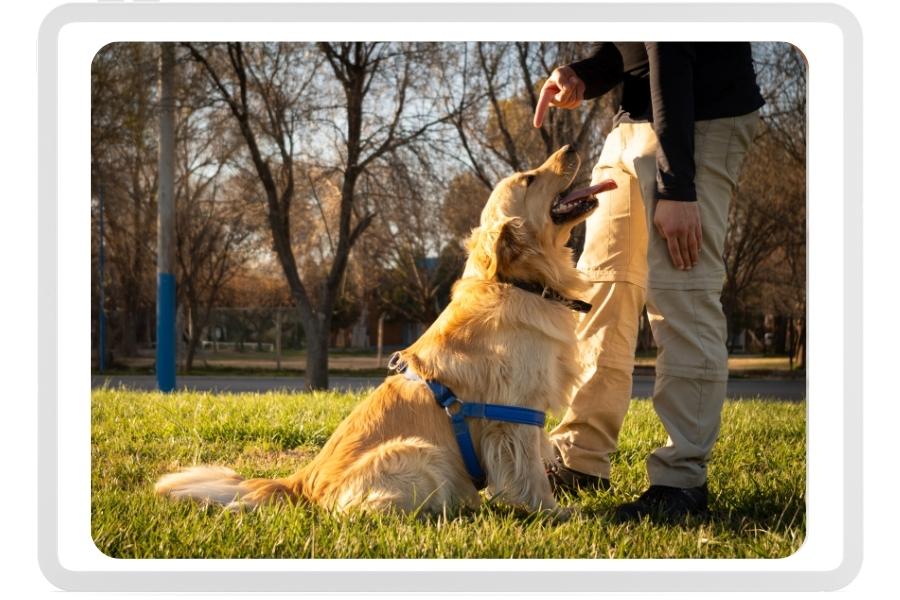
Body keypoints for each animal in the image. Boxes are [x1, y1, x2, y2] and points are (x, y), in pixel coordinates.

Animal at [158, 145, 616, 516]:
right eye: (530, 179)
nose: (571, 147)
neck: (518, 282)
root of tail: (301, 482)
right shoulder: (515, 413)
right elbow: (529, 471)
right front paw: (552, 512)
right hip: (421, 454)